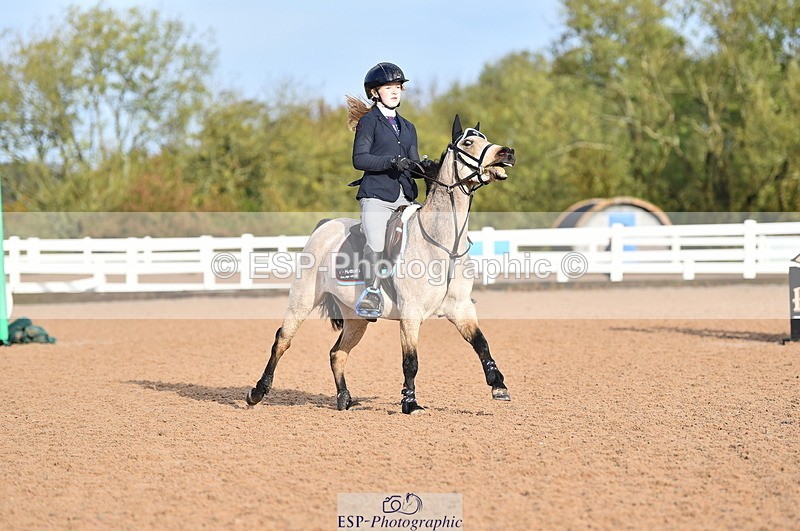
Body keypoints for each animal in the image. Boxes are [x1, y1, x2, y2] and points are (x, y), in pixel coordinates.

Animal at [246, 115, 516, 414]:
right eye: (468, 142)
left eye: (485, 138)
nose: (507, 153)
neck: (443, 245)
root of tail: (325, 226)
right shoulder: (410, 313)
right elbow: (410, 361)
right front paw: (409, 403)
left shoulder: (461, 309)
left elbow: (481, 344)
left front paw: (498, 385)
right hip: (302, 300)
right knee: (282, 341)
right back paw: (258, 392)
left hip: (355, 318)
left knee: (337, 353)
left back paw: (344, 398)